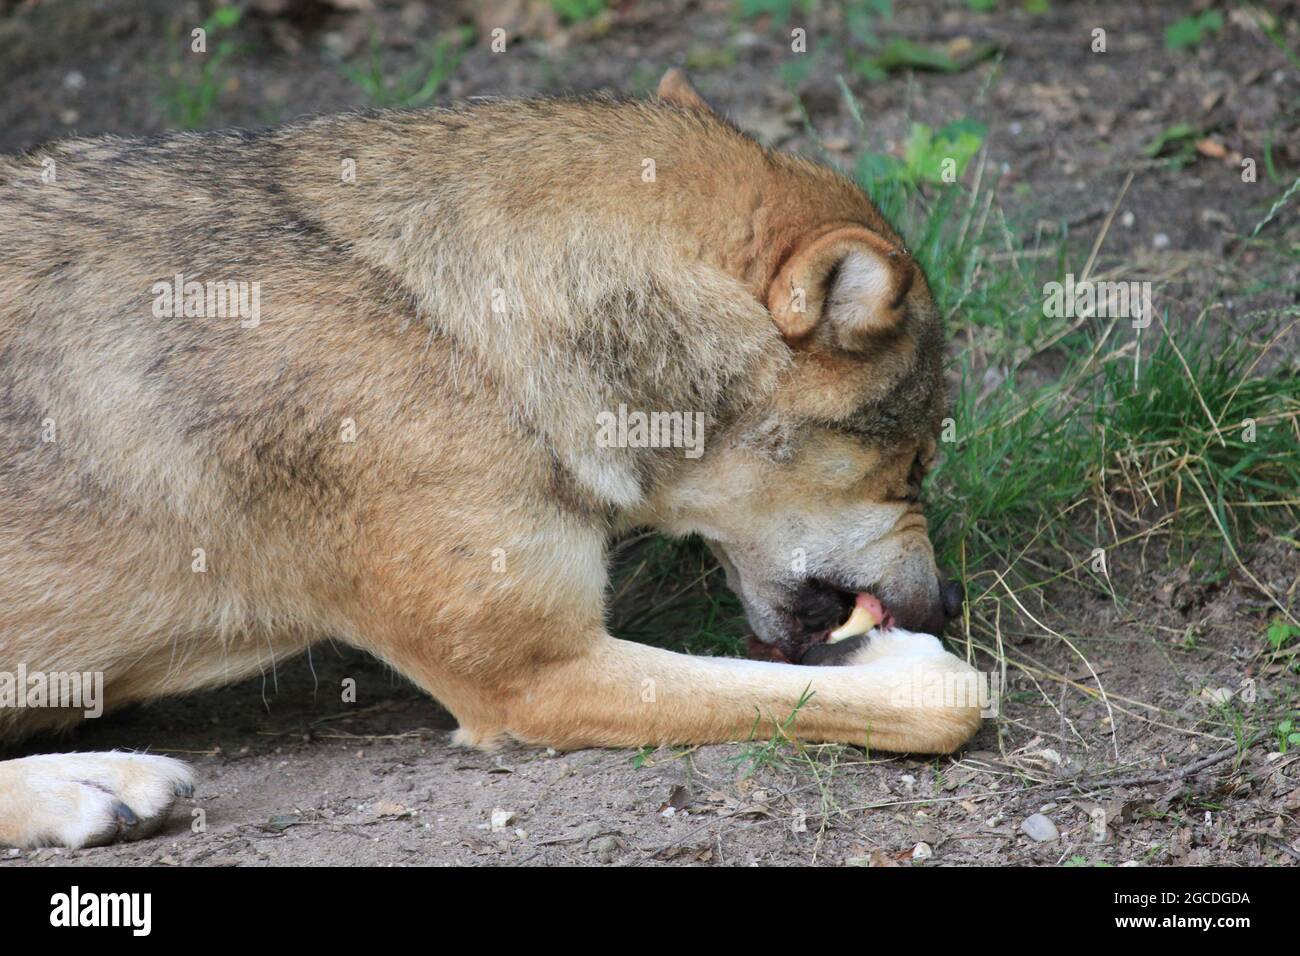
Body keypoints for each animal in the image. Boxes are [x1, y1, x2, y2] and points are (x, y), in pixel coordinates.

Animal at [0, 70, 977, 848]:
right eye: (916, 463)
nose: (952, 600)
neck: (466, 334)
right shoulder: (537, 677)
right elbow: (941, 703)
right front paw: (913, 665)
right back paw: (94, 783)